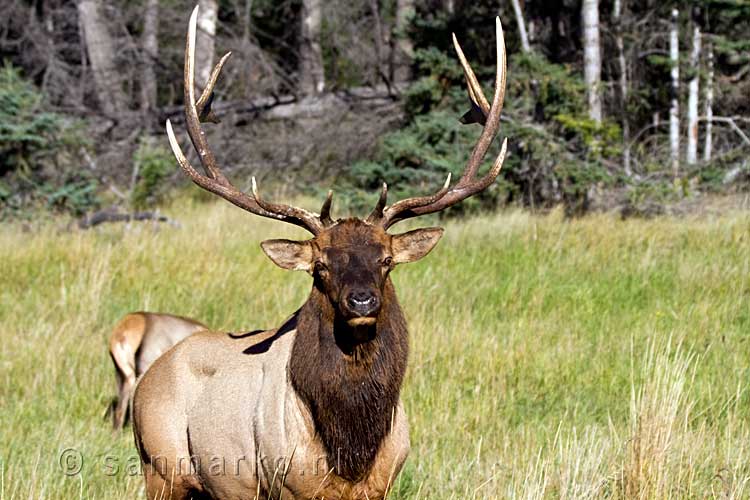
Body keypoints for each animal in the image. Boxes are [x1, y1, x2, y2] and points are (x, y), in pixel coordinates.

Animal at [134, 7, 512, 500]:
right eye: (320, 266)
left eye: (386, 261)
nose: (362, 301)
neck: (351, 450)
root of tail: (142, 383)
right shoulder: (285, 482)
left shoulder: (383, 483)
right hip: (161, 468)